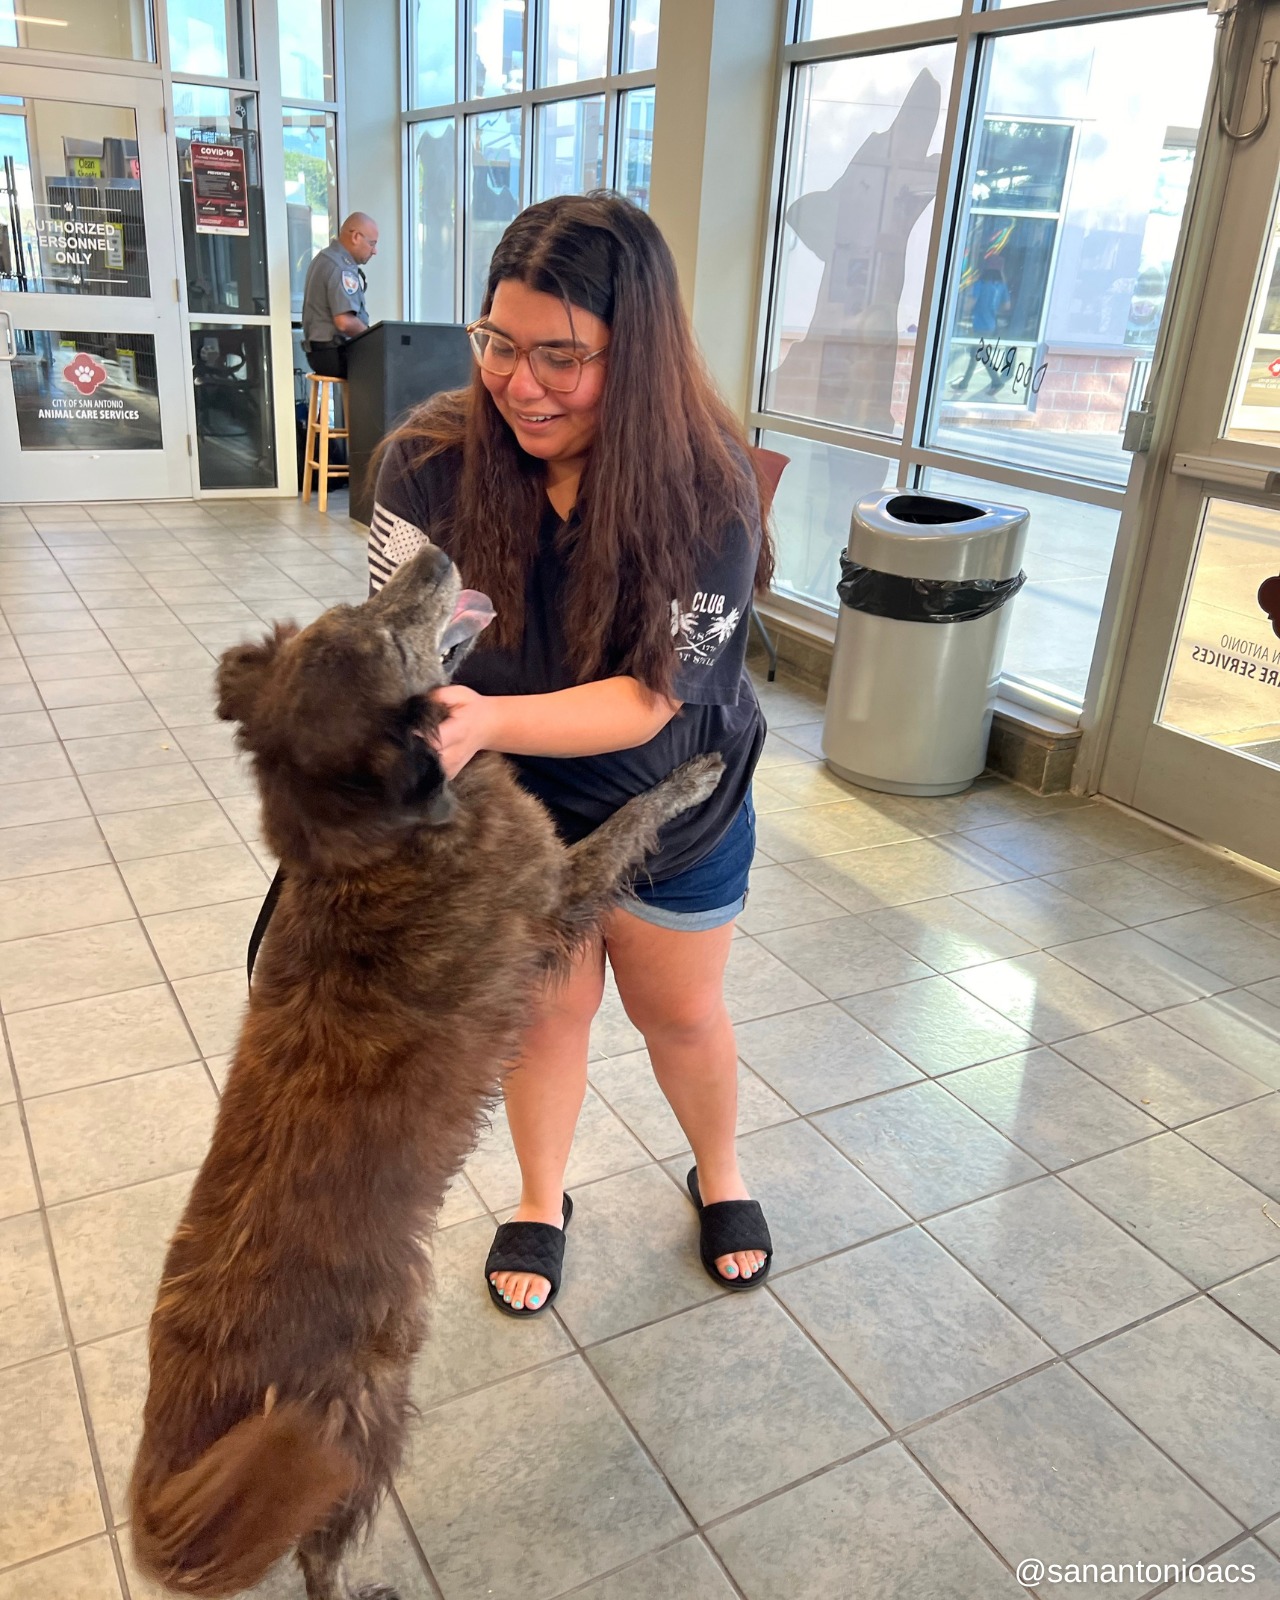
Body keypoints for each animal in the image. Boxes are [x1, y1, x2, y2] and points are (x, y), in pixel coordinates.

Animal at [133, 547, 726, 1600]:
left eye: (356, 607)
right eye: (387, 630)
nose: (436, 556)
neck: (365, 841)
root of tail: (177, 1463)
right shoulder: (559, 893)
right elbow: (631, 817)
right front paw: (693, 774)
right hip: (356, 1423)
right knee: (317, 1550)